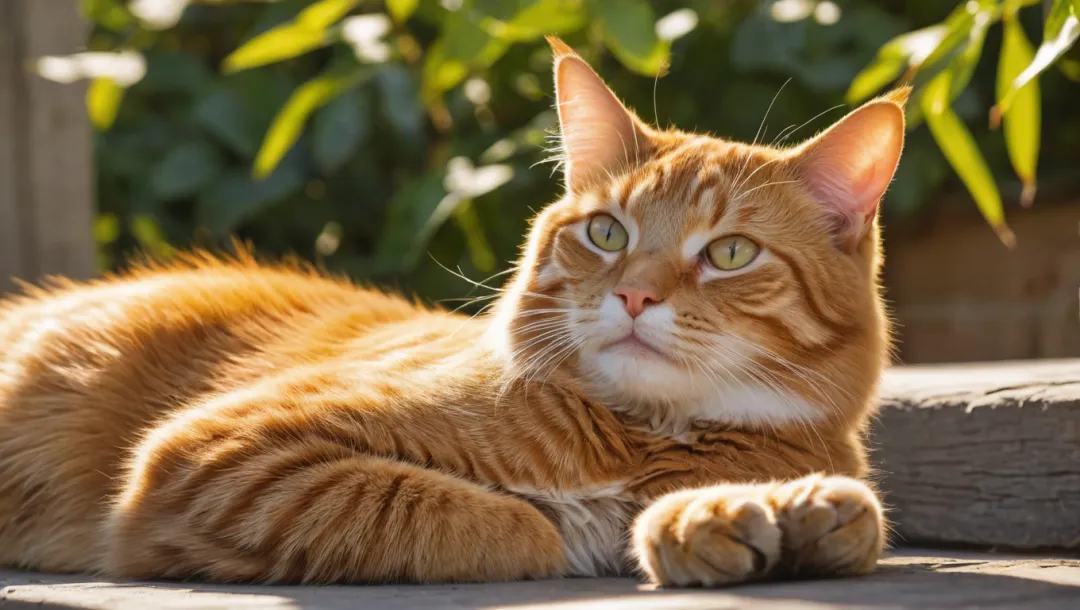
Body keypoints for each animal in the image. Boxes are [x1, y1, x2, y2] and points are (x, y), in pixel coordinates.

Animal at [2, 38, 902, 583]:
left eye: (731, 254)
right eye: (607, 232)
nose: (634, 294)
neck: (638, 436)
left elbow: (838, 515)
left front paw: (767, 515)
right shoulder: (226, 451)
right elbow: (517, 525)